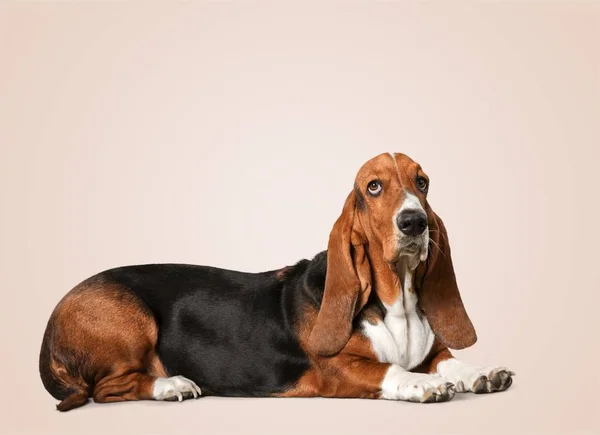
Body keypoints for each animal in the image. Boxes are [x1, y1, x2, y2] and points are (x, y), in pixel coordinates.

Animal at [39, 153, 512, 412]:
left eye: (423, 182)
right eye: (374, 187)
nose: (414, 221)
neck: (397, 302)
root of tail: (51, 323)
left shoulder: (431, 351)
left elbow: (448, 358)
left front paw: (481, 373)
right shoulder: (337, 371)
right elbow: (388, 369)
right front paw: (423, 384)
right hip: (133, 323)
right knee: (107, 388)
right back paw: (172, 384)